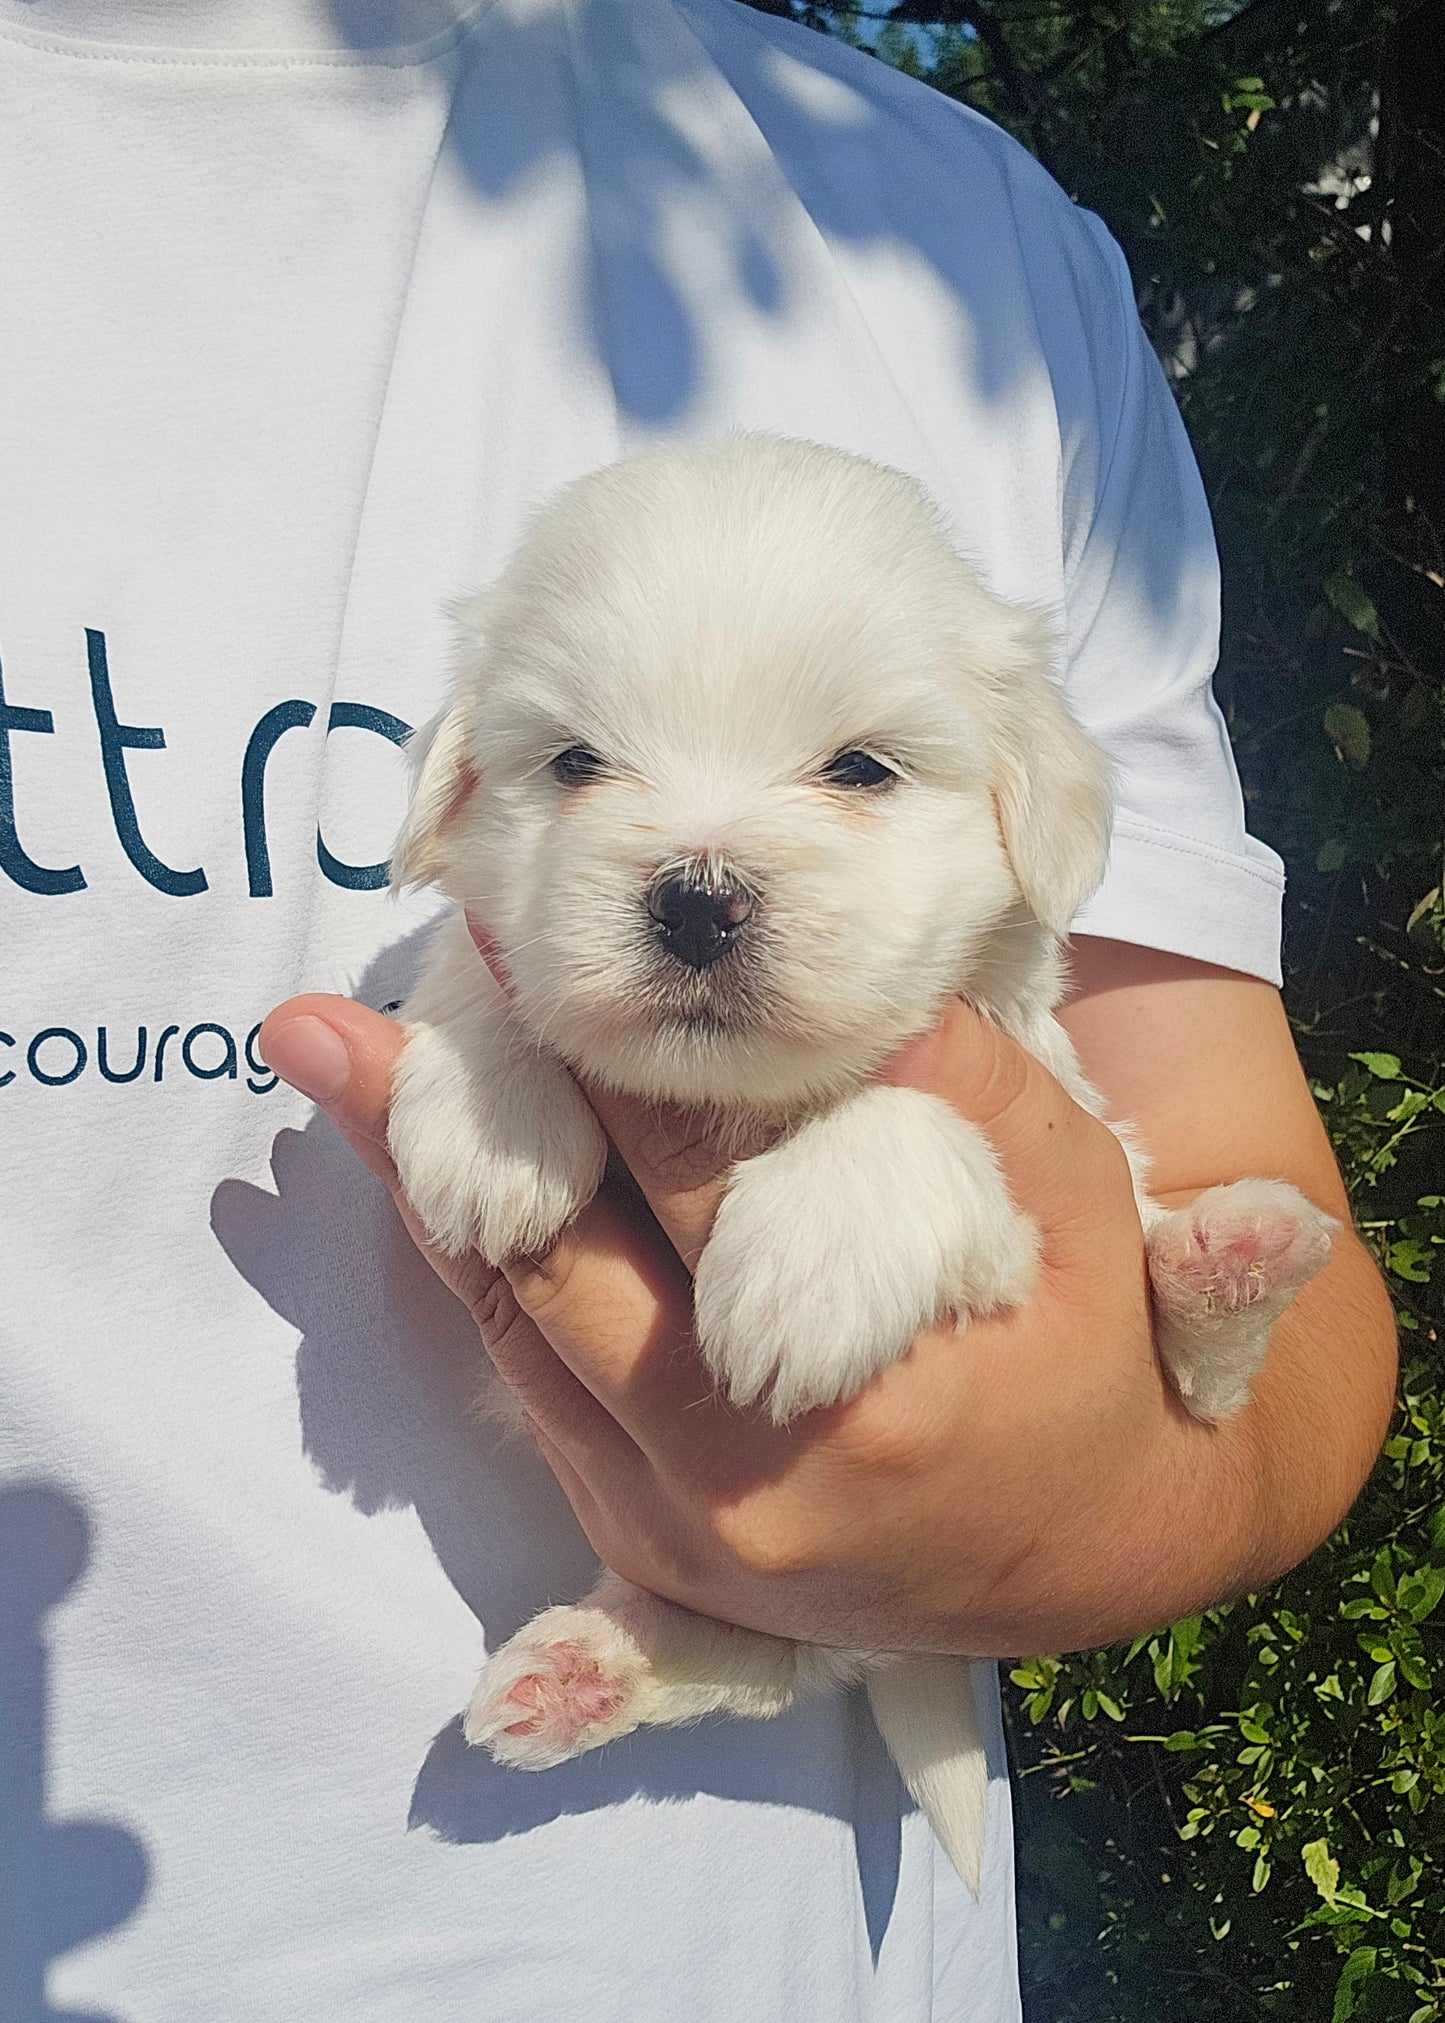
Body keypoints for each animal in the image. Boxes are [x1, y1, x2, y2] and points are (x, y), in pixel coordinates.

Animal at [382, 434, 1327, 1885]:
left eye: (861, 771)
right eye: (575, 762)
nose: (695, 897)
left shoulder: (1017, 1125)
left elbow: (900, 1114)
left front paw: (805, 1263)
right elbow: (482, 962)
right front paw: (492, 1120)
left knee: (1196, 1362)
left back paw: (1233, 1253)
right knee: (753, 1658)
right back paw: (578, 1674)